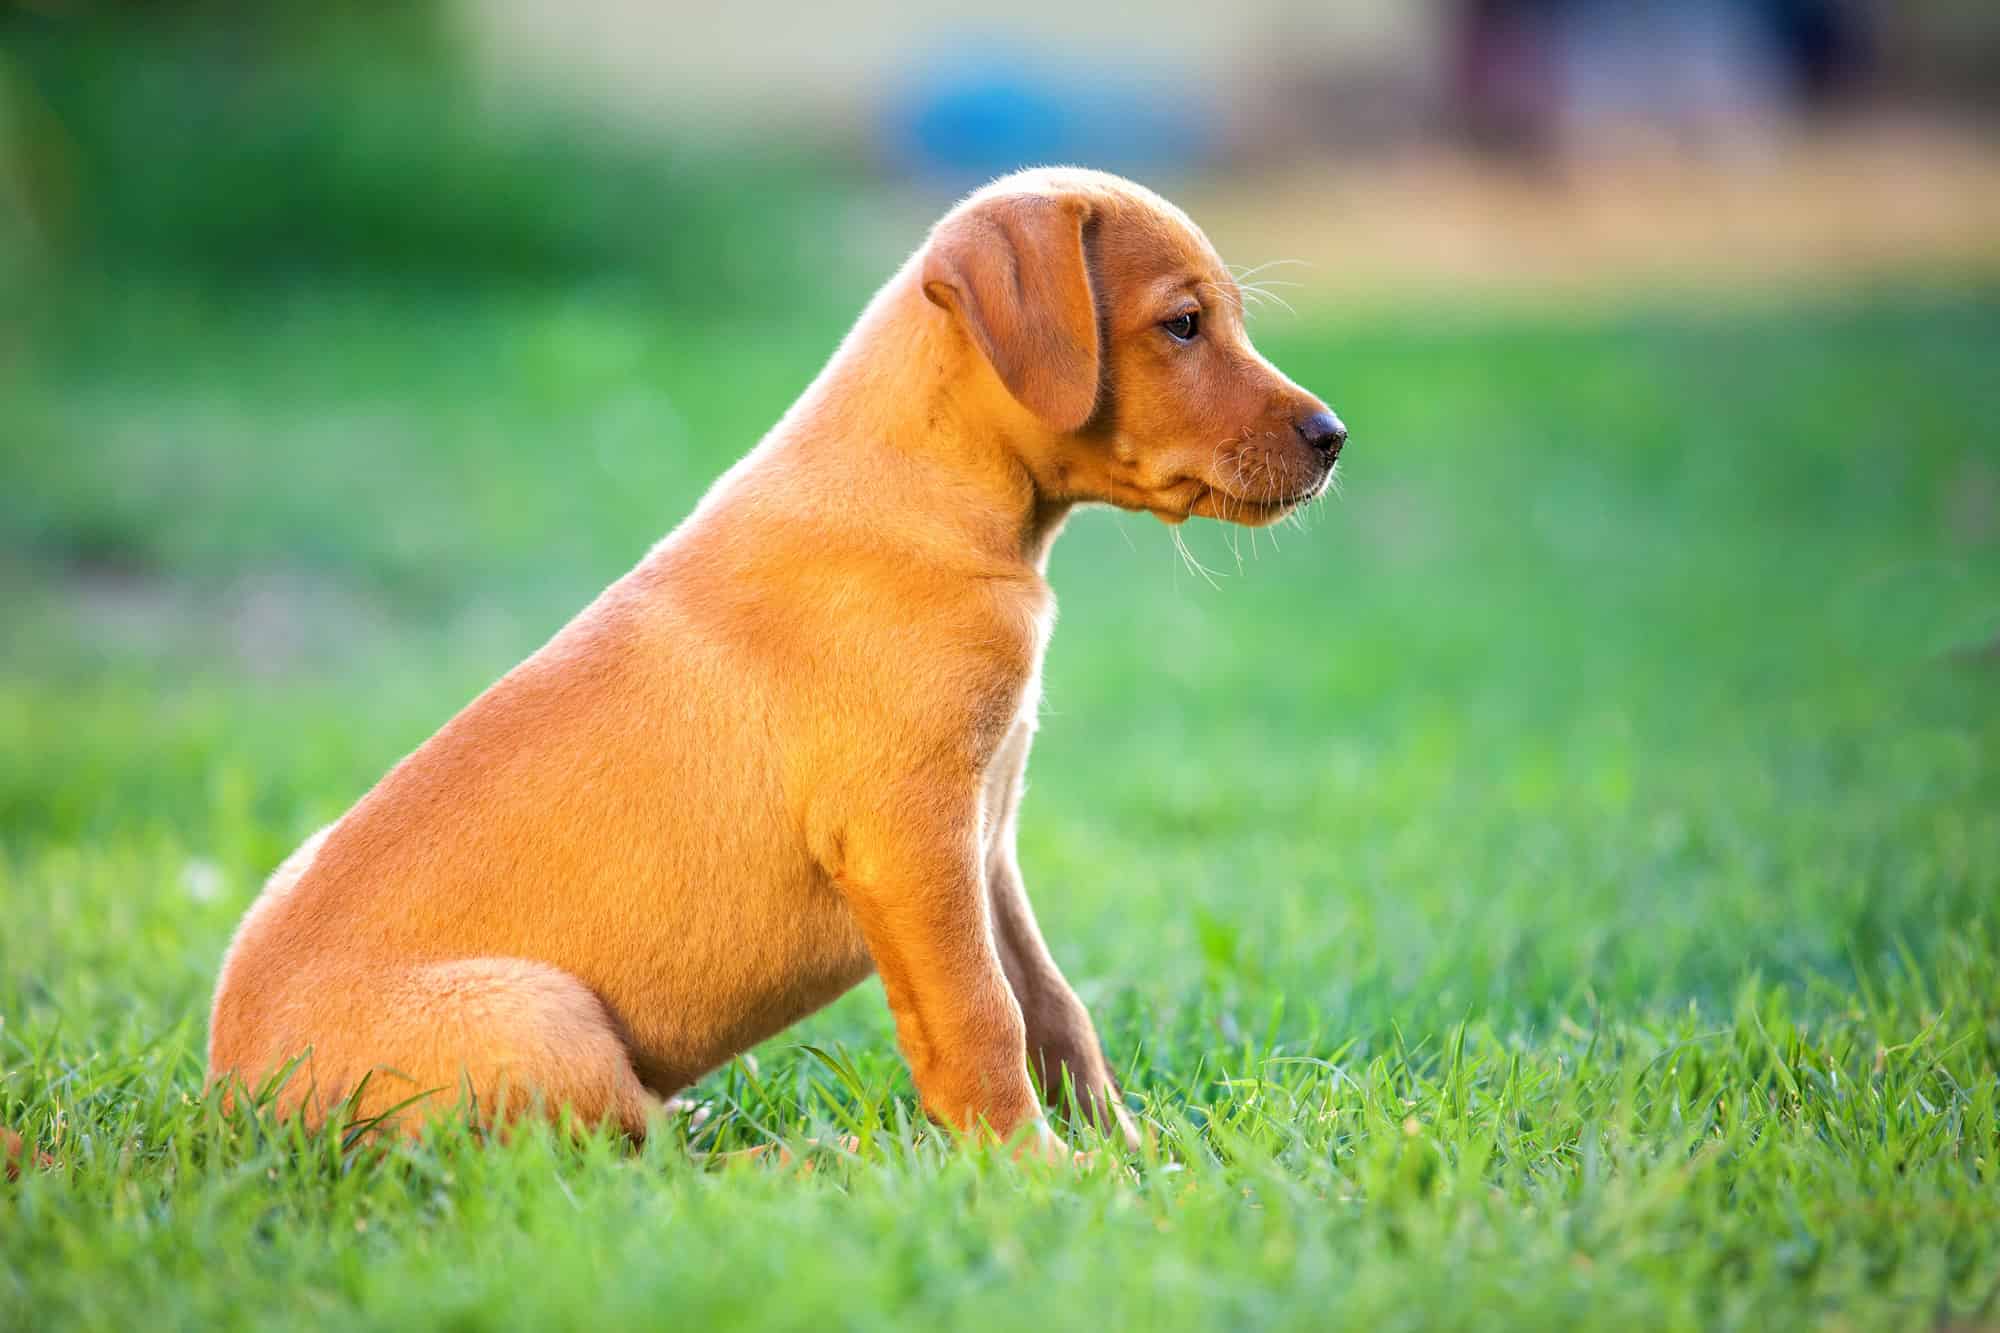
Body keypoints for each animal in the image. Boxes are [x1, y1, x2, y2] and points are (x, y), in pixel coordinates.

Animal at [207, 169, 1344, 1152]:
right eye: (1183, 324)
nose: (1334, 435)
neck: (935, 504)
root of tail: (232, 1099)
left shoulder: (986, 843)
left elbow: (1054, 1007)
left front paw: (1130, 1155)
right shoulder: (909, 841)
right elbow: (984, 1017)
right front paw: (1030, 1169)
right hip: (539, 1017)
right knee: (639, 1163)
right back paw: (811, 1156)